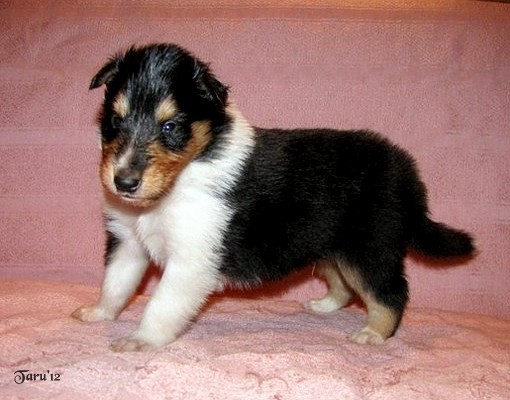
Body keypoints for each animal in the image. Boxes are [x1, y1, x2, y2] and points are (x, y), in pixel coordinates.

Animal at [72, 43, 475, 351]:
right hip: (328, 244)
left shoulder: (191, 258)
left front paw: (140, 340)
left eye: (170, 126)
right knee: (343, 284)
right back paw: (324, 305)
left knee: (391, 292)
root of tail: (406, 172)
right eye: (115, 120)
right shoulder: (128, 241)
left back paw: (374, 334)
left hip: (369, 247)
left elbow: (161, 304)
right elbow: (116, 282)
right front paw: (98, 313)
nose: (123, 183)